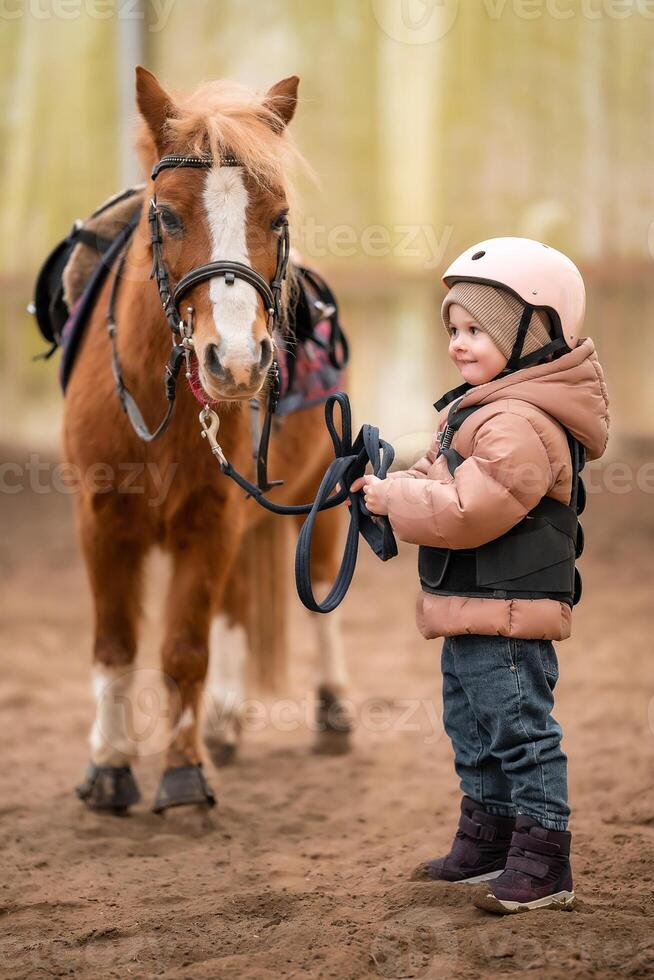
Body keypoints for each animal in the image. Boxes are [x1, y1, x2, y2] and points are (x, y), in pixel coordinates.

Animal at [66, 69, 352, 816]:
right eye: (166, 216)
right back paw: (223, 720)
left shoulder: (213, 519)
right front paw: (109, 768)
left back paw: (332, 708)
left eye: (278, 217)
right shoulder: (102, 520)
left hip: (324, 495)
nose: (239, 362)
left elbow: (183, 649)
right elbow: (116, 645)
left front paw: (183, 772)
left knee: (318, 589)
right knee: (234, 607)